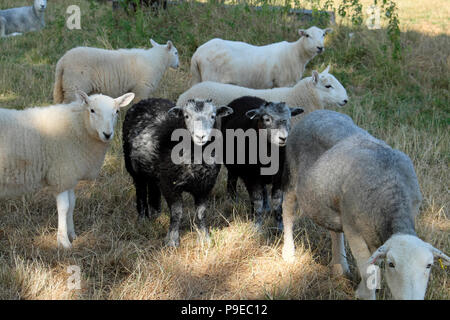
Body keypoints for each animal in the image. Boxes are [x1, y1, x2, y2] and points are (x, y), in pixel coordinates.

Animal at [0, 91, 135, 249]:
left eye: (117, 112)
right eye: (92, 110)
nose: (107, 134)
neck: (78, 126)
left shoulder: (70, 174)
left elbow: (72, 204)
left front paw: (72, 235)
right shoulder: (62, 174)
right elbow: (64, 207)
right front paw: (64, 242)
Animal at [123, 97, 234, 248]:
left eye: (213, 116)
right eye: (186, 116)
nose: (200, 136)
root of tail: (147, 99)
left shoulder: (205, 185)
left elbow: (201, 213)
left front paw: (205, 238)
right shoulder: (170, 183)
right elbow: (177, 212)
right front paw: (172, 241)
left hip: (154, 170)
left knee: (153, 187)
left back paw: (156, 214)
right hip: (133, 167)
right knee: (140, 191)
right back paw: (143, 219)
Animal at [188, 25, 332, 88]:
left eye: (323, 35)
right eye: (307, 35)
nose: (320, 47)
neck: (296, 53)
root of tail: (197, 54)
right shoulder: (283, 83)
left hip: (197, 78)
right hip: (211, 78)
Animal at [282, 110, 450, 300]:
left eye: (429, 265)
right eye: (391, 264)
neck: (390, 189)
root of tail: (317, 112)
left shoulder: (374, 232)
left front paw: (361, 289)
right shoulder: (354, 230)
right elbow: (369, 272)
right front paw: (365, 293)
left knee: (334, 231)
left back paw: (340, 267)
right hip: (291, 177)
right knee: (287, 211)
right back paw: (288, 254)